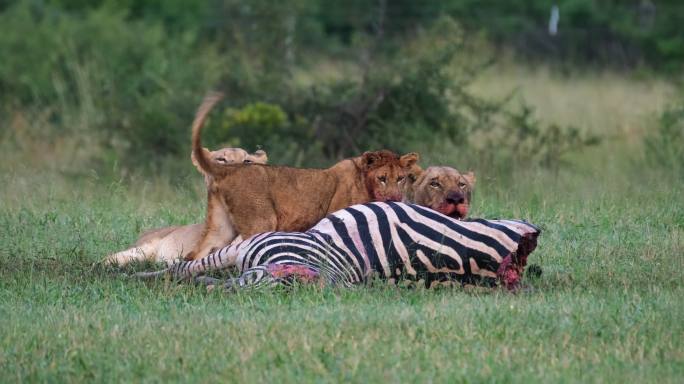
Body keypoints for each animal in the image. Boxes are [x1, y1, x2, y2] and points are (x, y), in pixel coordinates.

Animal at [184, 92, 416, 260]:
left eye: (401, 178)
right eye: (382, 178)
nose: (395, 198)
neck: (364, 181)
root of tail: (227, 169)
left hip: (220, 228)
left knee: (195, 254)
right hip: (261, 221)